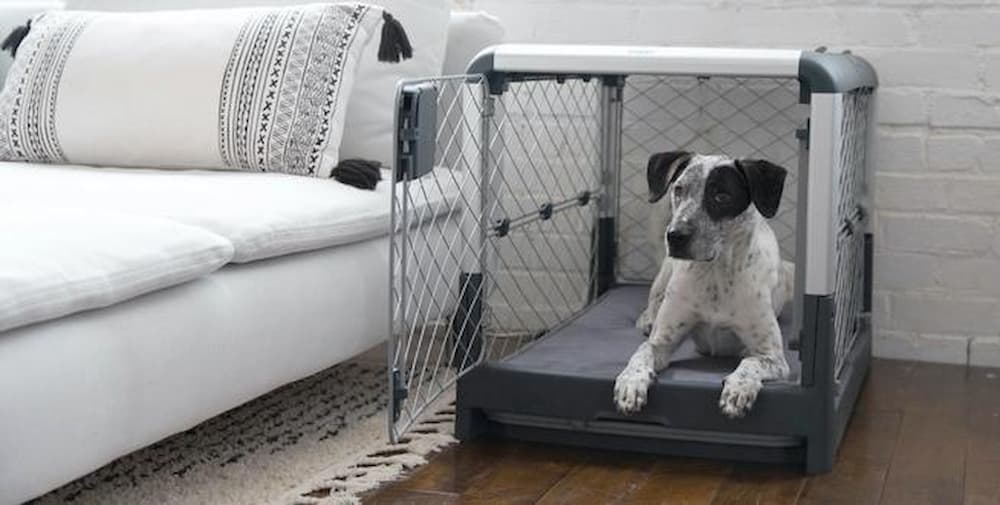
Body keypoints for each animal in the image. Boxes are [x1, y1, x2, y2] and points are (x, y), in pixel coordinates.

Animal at [612, 150, 792, 418]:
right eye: (678, 189)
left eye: (722, 196)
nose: (675, 236)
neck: (715, 273)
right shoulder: (662, 342)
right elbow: (641, 352)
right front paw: (631, 382)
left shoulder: (772, 356)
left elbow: (750, 361)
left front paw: (739, 388)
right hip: (665, 274)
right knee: (653, 303)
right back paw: (647, 319)